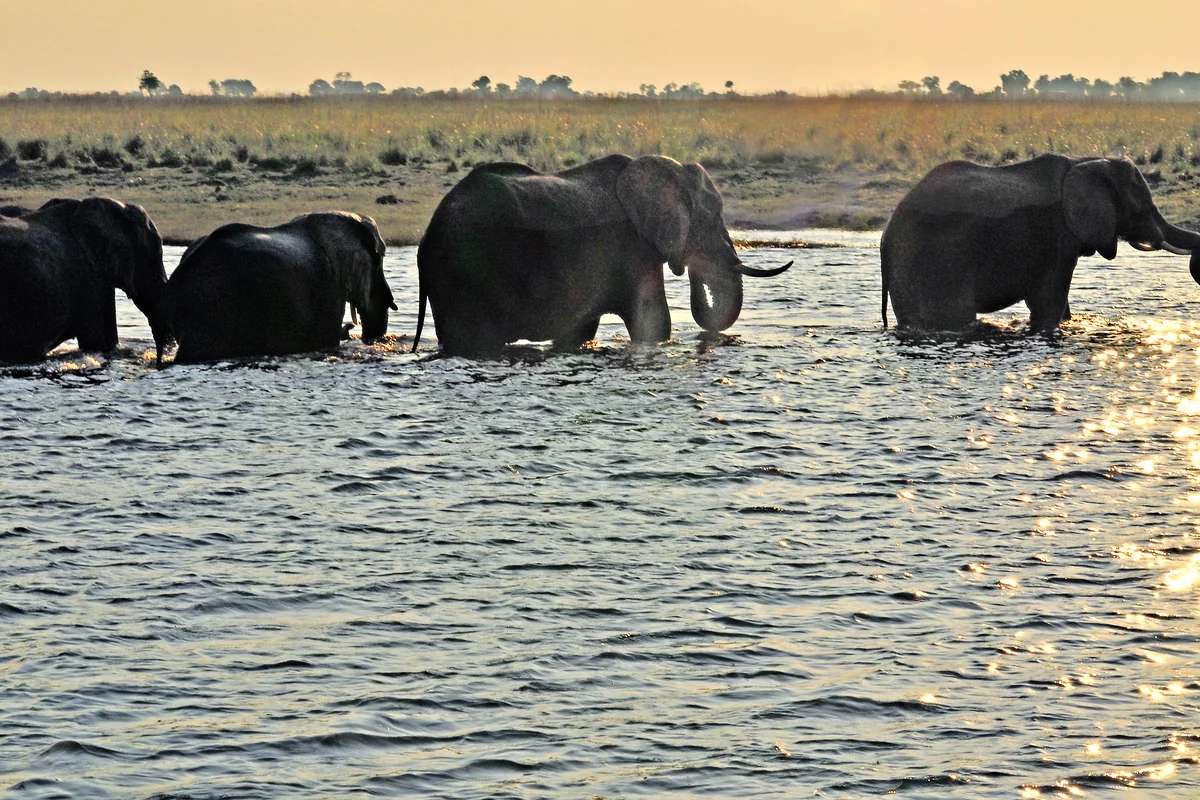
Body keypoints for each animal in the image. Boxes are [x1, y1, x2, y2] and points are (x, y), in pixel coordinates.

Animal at [413, 154, 792, 358]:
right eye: (712, 219)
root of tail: (428, 235)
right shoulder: (633, 248)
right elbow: (654, 320)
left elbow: (579, 330)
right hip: (466, 267)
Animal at [881, 154, 1200, 332]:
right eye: (1142, 205)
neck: (1084, 161)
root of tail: (887, 233)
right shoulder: (1058, 235)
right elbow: (1049, 300)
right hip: (932, 261)